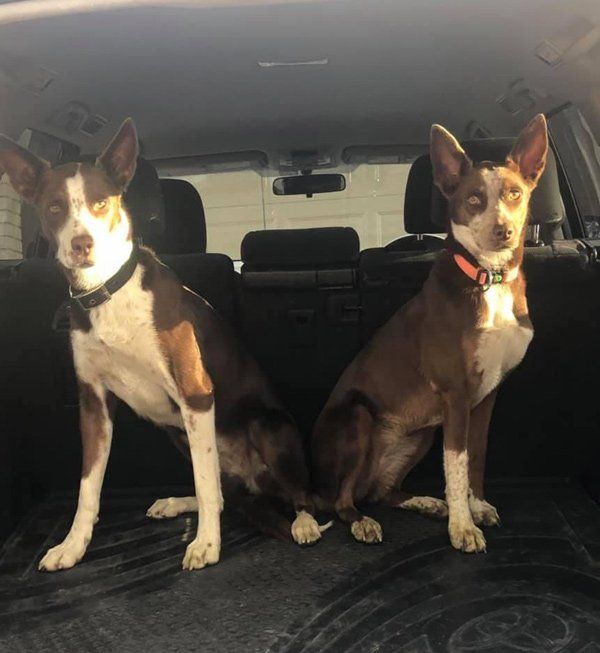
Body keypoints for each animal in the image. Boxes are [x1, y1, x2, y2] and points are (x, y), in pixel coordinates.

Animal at [0, 118, 326, 572]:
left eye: (101, 203)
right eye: (53, 207)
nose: (82, 245)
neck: (108, 291)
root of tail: (253, 482)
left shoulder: (195, 393)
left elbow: (205, 484)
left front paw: (206, 544)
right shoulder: (94, 405)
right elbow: (88, 487)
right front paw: (73, 545)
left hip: (267, 425)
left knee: (292, 493)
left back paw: (304, 522)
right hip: (179, 436)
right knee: (221, 493)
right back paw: (178, 502)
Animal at [312, 116, 548, 552]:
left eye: (515, 193)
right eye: (473, 199)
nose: (503, 231)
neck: (489, 279)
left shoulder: (486, 396)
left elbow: (476, 457)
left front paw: (477, 507)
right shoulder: (455, 393)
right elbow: (455, 465)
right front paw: (463, 526)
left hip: (418, 436)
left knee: (380, 491)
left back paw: (424, 502)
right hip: (358, 417)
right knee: (344, 501)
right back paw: (362, 523)